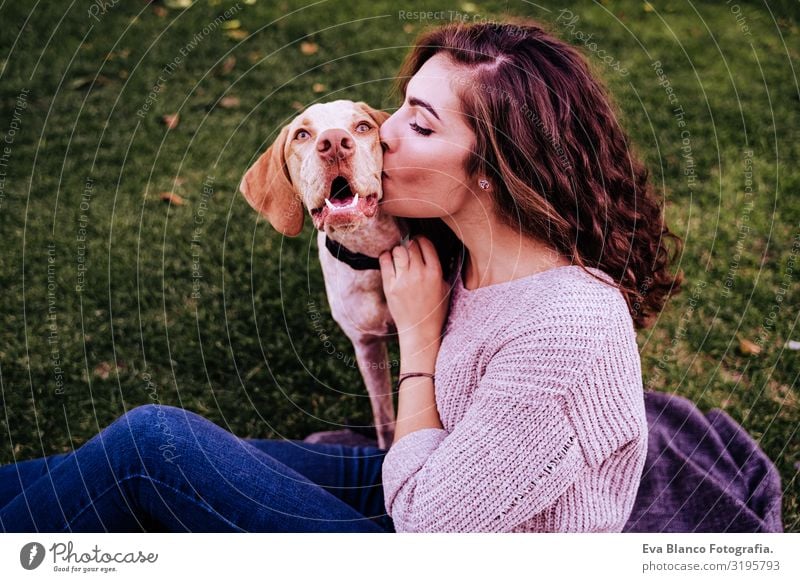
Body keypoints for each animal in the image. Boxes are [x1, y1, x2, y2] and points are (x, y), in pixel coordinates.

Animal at [239, 100, 410, 450]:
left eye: (362, 127)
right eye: (302, 135)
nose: (333, 144)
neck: (373, 255)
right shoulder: (367, 345)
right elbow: (385, 419)